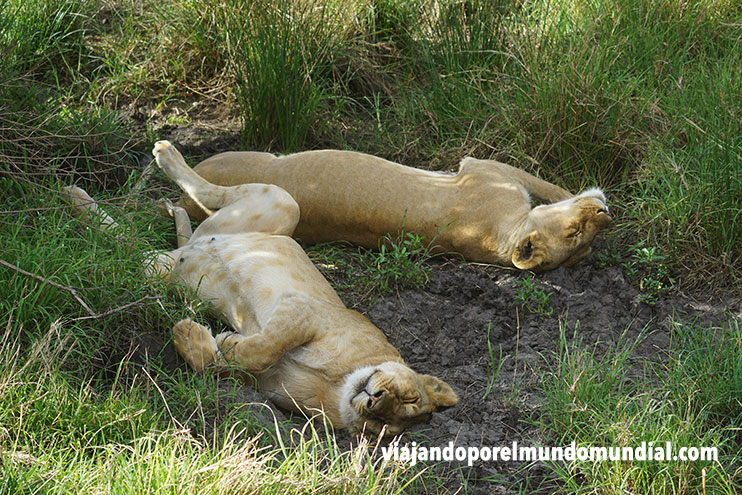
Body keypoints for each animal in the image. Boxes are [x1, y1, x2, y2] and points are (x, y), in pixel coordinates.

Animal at [63, 141, 458, 438]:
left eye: (385, 425)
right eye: (407, 397)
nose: (374, 401)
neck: (335, 384)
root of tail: (190, 249)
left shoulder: (261, 382)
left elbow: (217, 365)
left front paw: (198, 337)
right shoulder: (302, 311)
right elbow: (267, 346)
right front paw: (228, 342)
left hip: (156, 271)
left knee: (126, 245)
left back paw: (83, 205)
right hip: (283, 204)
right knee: (210, 191)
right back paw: (161, 157)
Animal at [178, 150, 612, 272]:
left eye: (584, 246)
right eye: (575, 232)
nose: (605, 216)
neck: (500, 237)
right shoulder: (483, 167)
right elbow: (551, 186)